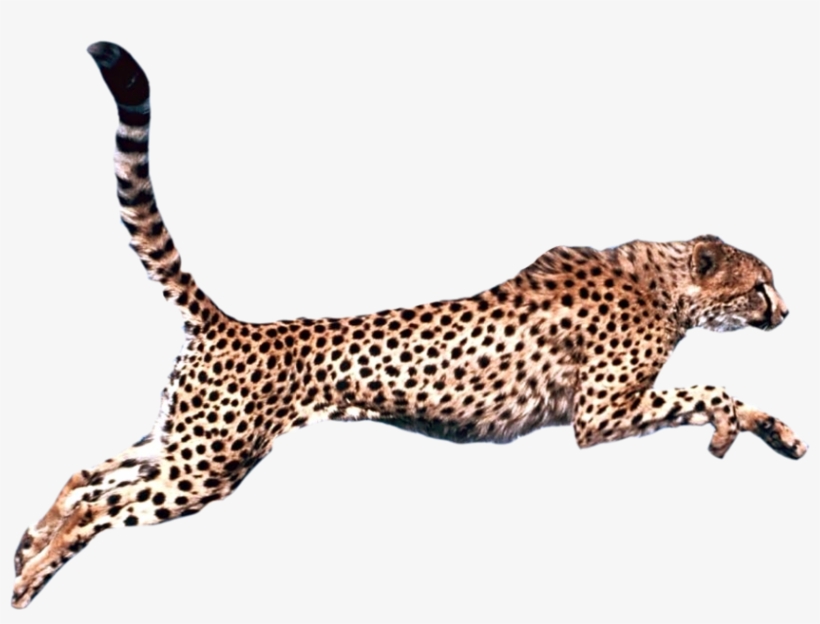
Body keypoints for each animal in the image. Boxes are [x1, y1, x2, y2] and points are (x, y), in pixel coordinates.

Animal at [11, 41, 807, 609]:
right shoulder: (601, 415)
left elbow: (730, 397)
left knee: (86, 473)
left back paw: (27, 544)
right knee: (103, 503)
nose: (787, 311)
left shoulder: (619, 406)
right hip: (206, 465)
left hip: (184, 442)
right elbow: (712, 389)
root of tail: (230, 323)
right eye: (760, 285)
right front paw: (731, 430)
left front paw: (779, 436)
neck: (666, 284)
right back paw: (30, 577)